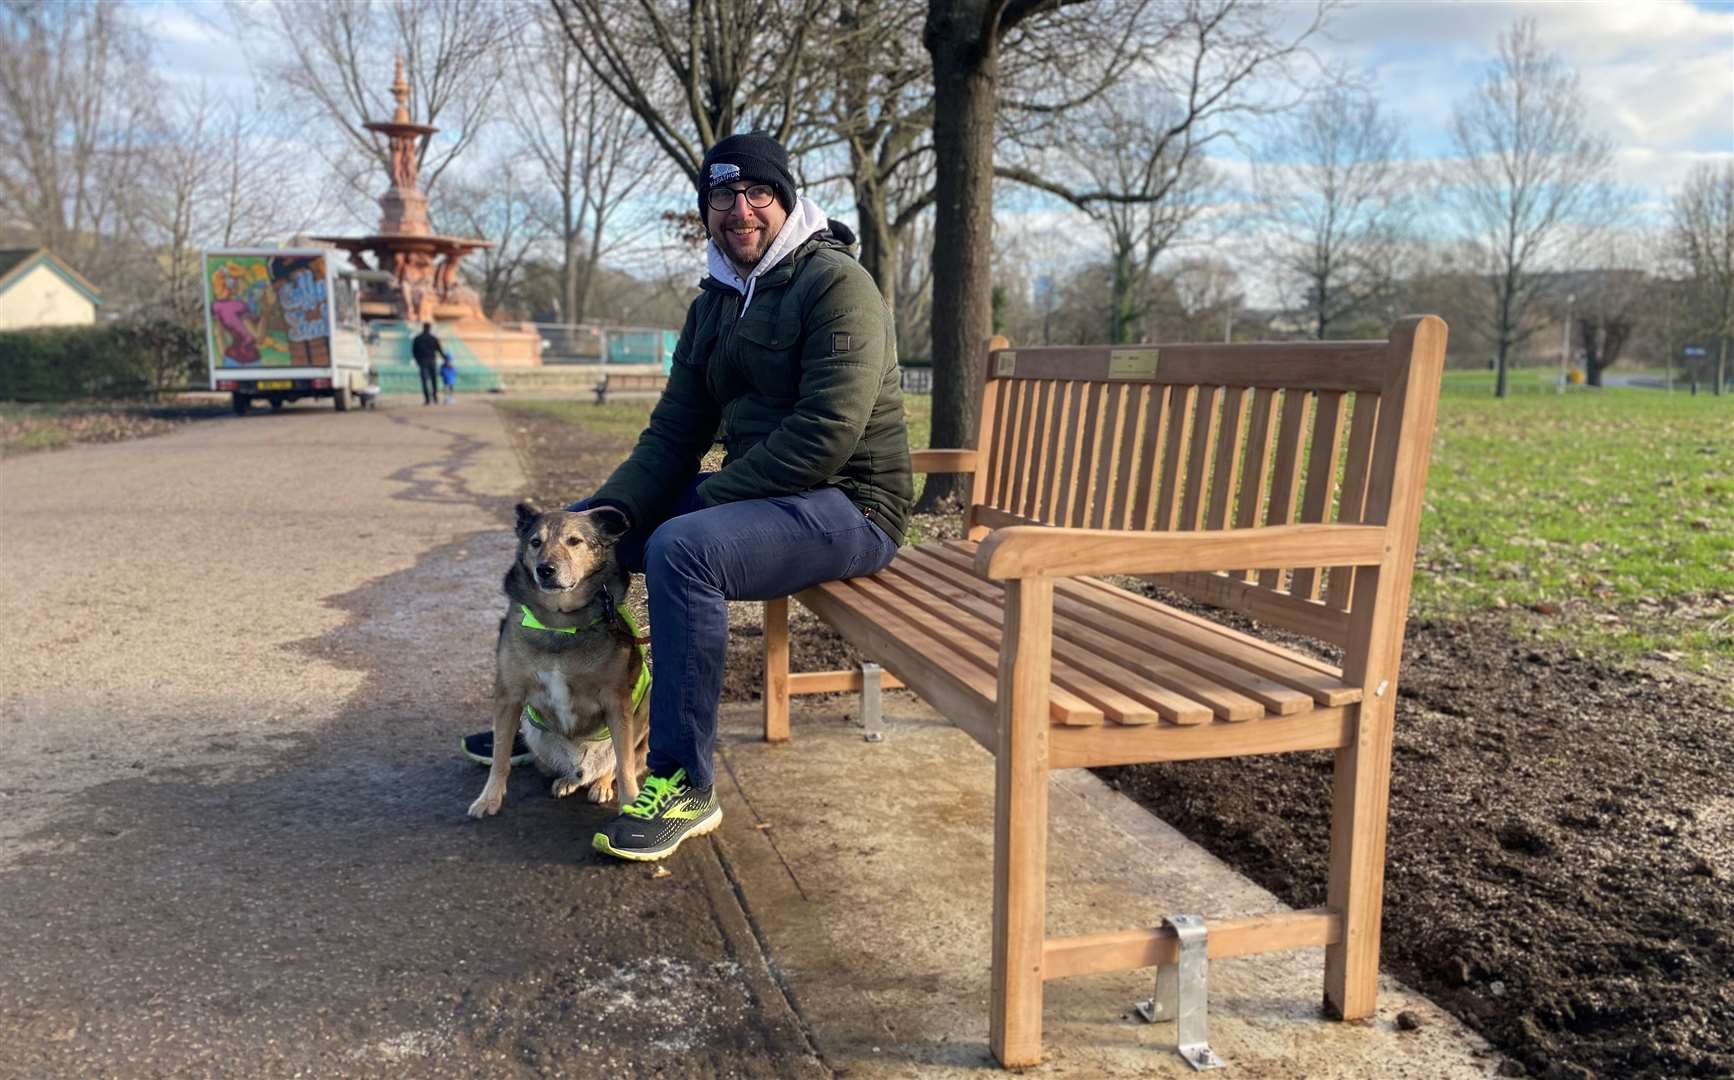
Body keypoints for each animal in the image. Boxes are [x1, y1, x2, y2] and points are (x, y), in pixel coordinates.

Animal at [464, 499, 648, 818]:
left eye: (574, 541)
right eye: (535, 542)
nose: (545, 570)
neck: (560, 622)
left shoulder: (616, 701)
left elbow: (623, 763)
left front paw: (630, 803)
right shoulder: (509, 696)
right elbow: (500, 755)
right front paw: (489, 799)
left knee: (613, 765)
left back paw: (601, 784)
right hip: (532, 732)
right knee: (573, 773)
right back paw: (567, 780)